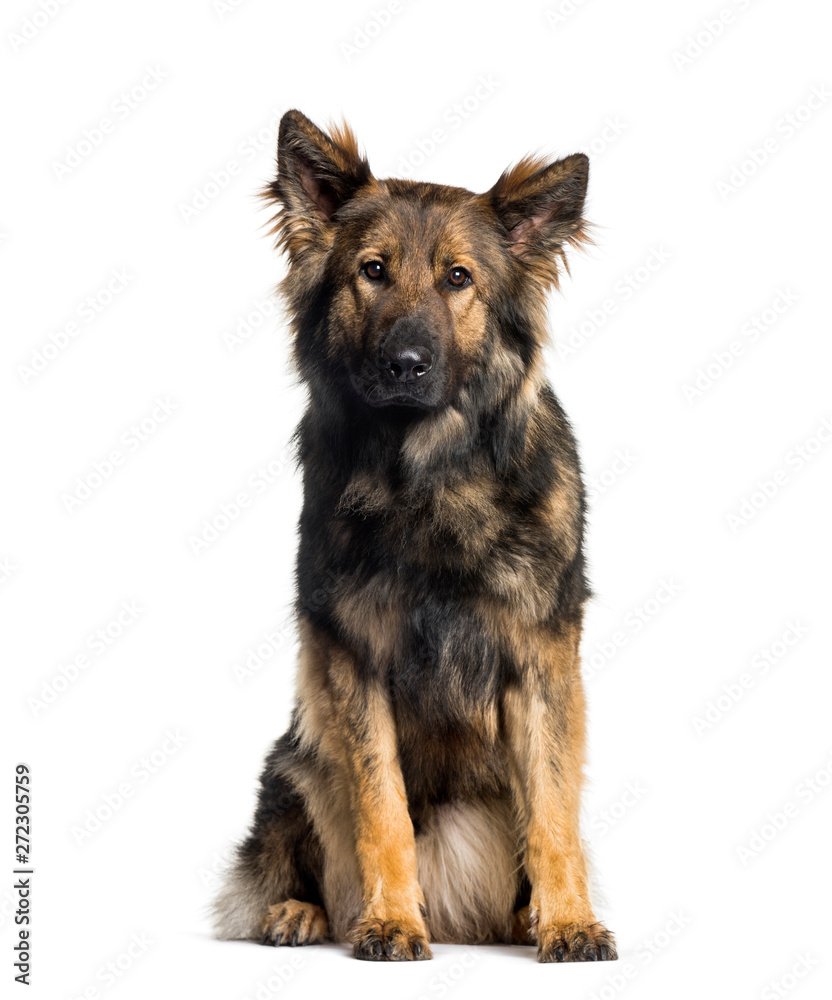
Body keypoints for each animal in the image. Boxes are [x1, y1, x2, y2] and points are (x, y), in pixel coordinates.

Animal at [214, 107, 616, 960]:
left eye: (459, 279)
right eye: (372, 271)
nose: (406, 363)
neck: (430, 477)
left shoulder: (541, 662)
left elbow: (553, 813)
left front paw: (569, 921)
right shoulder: (352, 663)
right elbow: (382, 812)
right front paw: (392, 918)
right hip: (297, 758)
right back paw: (300, 912)